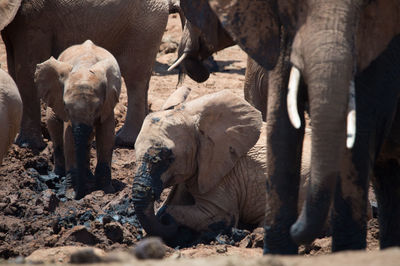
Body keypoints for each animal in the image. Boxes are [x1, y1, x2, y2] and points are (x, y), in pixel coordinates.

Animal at [0, 0, 175, 151]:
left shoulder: (34, 19)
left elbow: (27, 70)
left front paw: (27, 145)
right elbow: (13, 65)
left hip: (145, 25)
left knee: (134, 77)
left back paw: (124, 141)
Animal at [34, 40, 121, 200]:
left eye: (97, 108)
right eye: (66, 107)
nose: (78, 196)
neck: (85, 67)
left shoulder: (108, 103)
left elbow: (106, 135)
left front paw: (106, 191)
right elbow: (69, 138)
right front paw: (71, 193)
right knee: (54, 126)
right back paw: (59, 175)